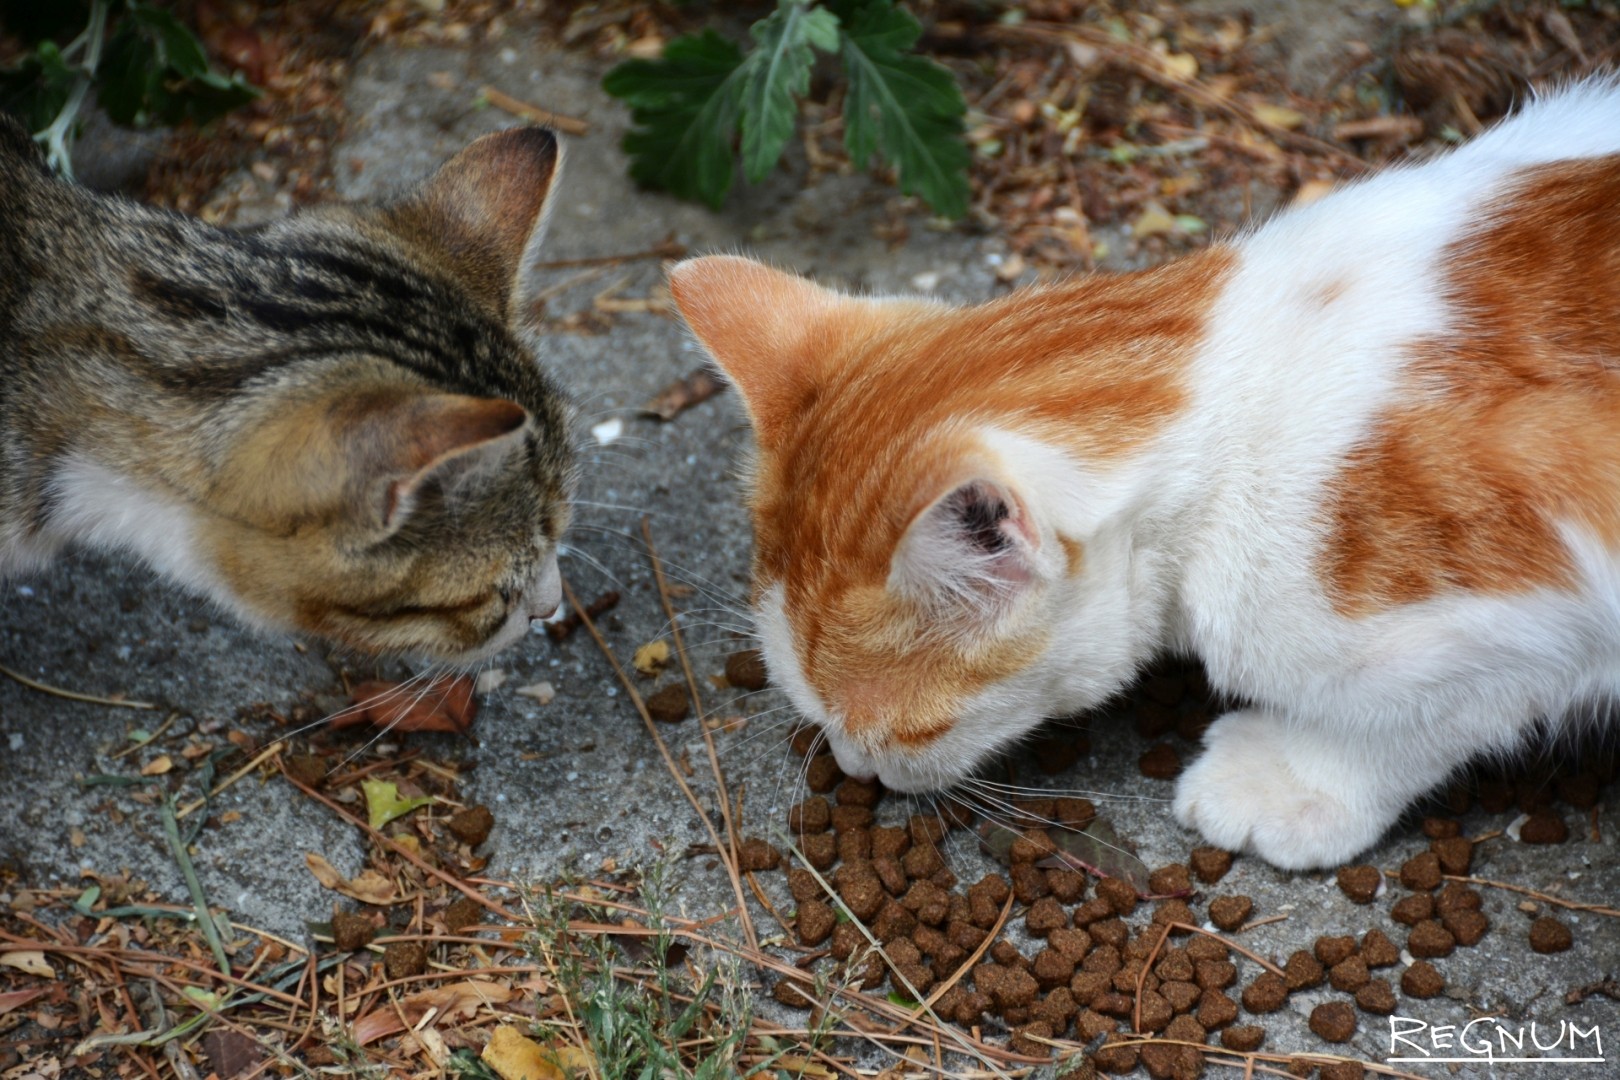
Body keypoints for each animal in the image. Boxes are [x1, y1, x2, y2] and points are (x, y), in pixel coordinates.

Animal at [664, 84, 1620, 867]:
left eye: (904, 730)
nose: (857, 768)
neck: (1244, 371)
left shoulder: (1518, 628)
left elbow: (1407, 724)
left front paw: (1296, 781)